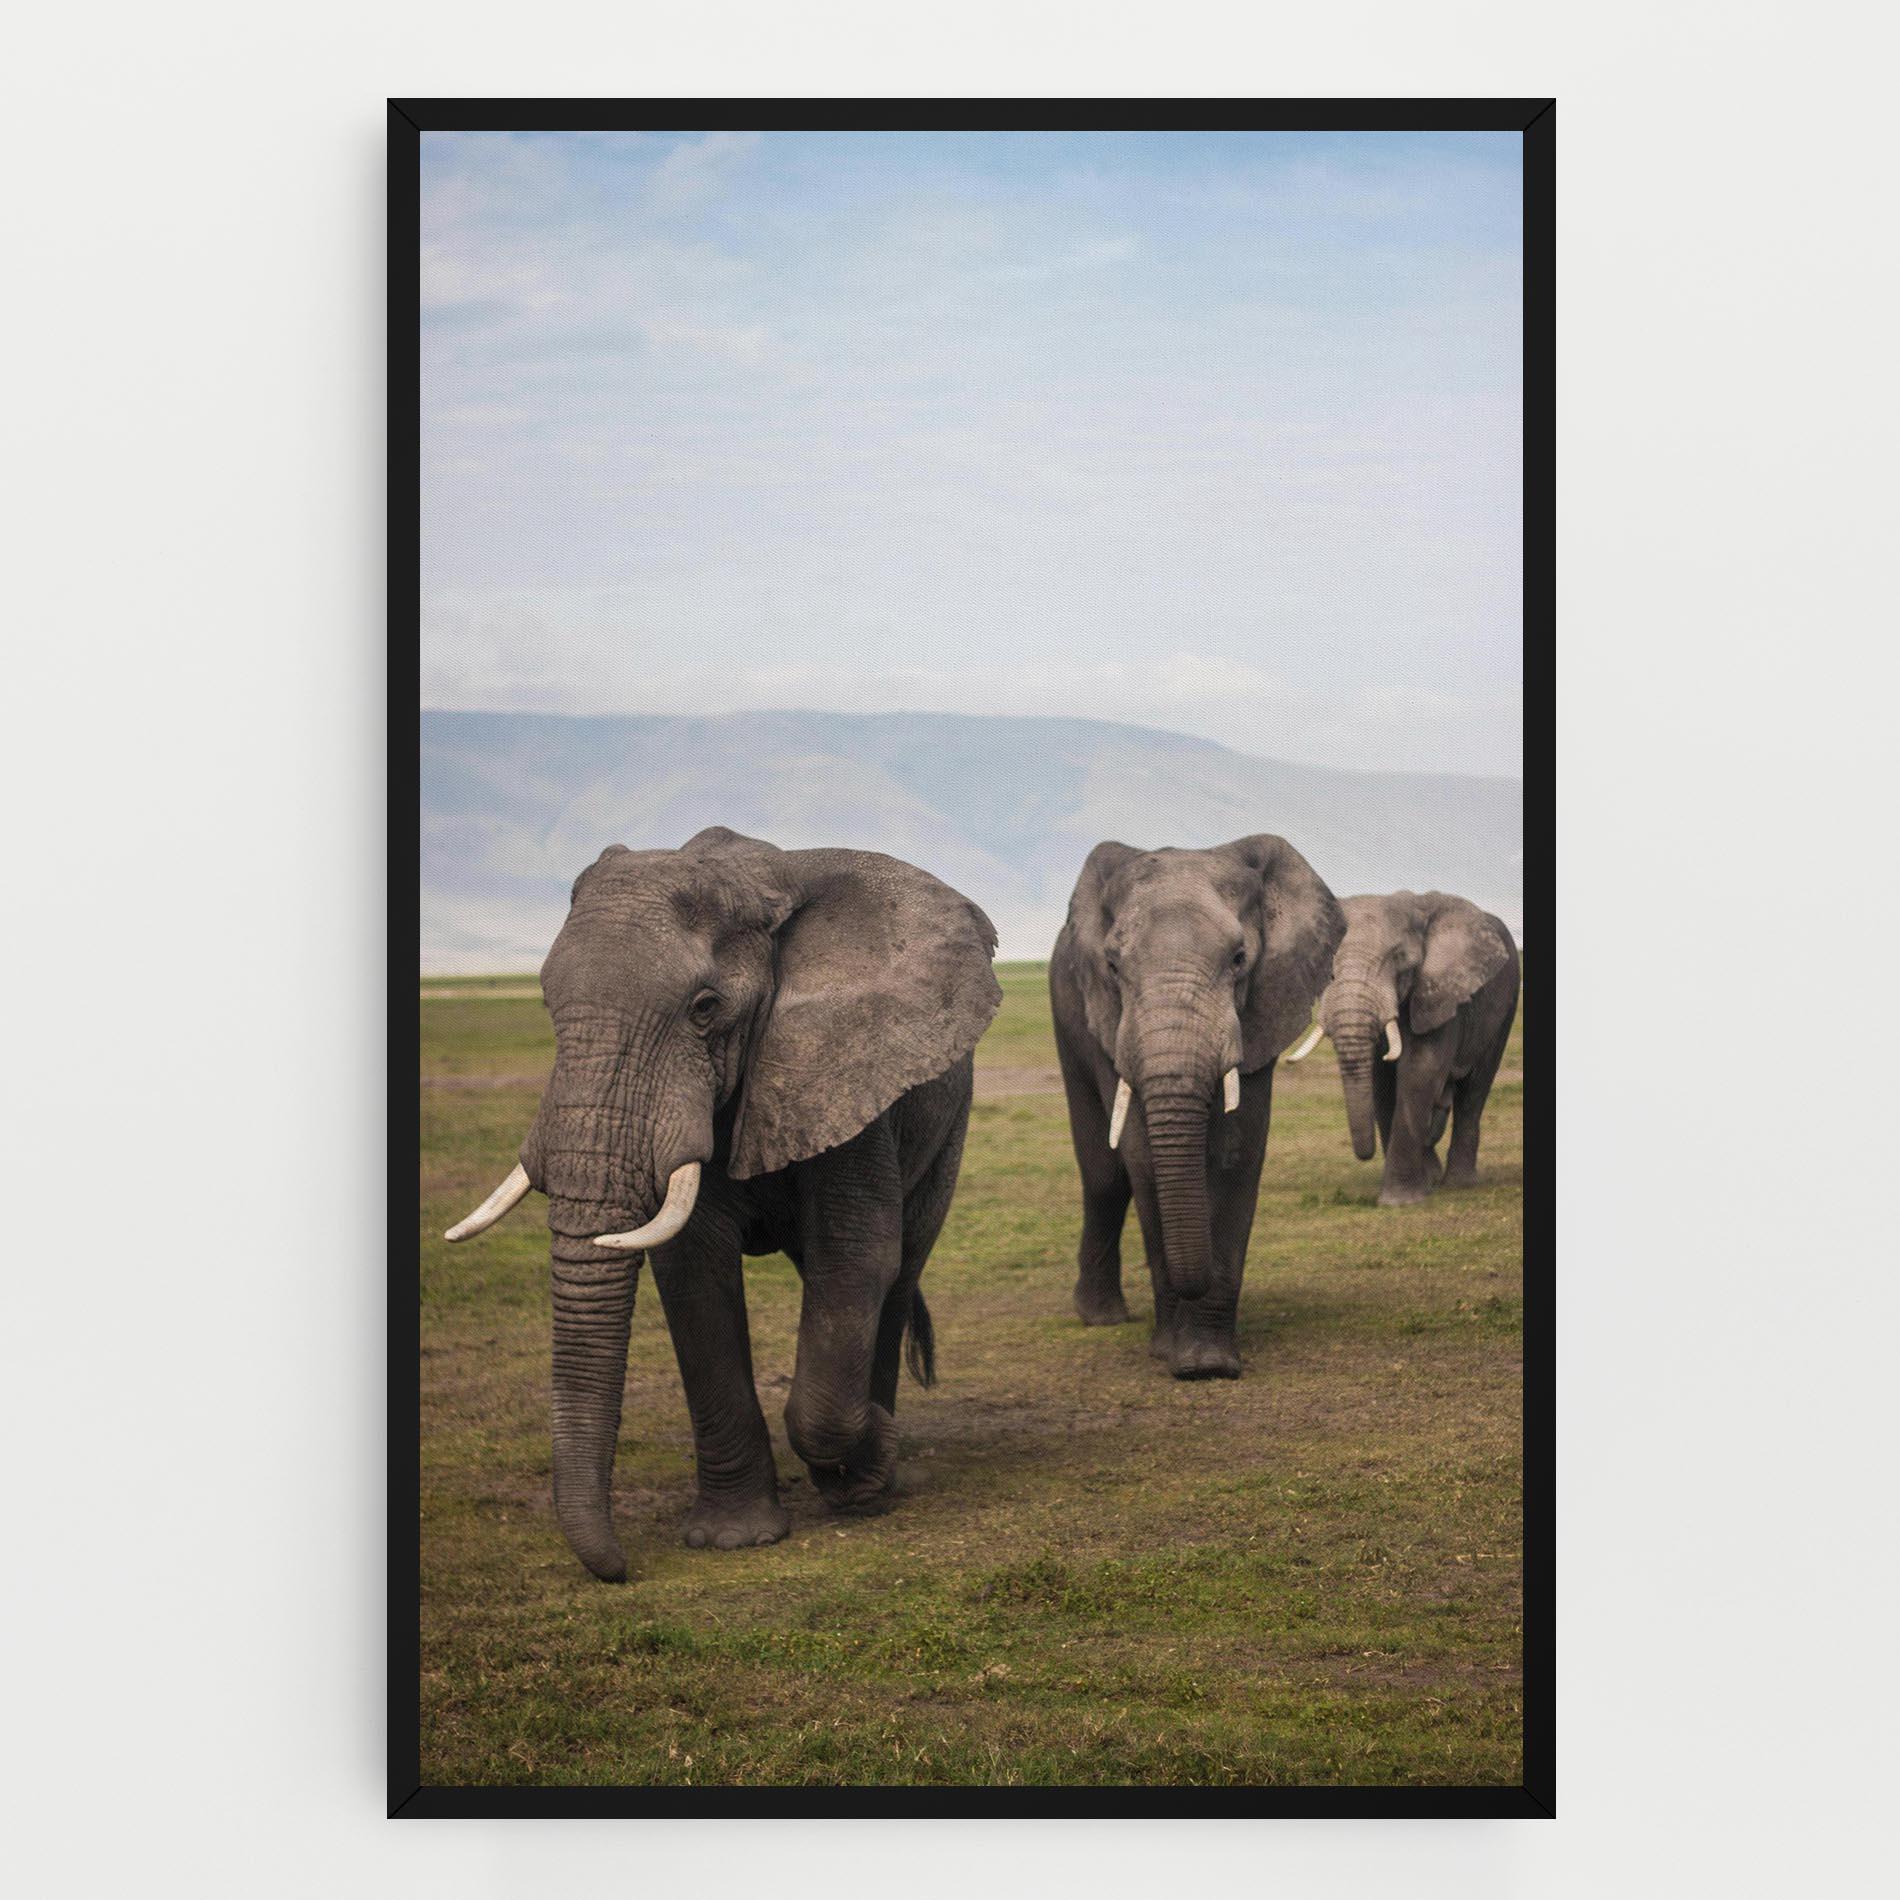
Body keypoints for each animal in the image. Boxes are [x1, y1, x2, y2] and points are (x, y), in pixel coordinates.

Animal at [442, 826, 1001, 1581]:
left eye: (704, 1008)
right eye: (546, 1003)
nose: (619, 1568)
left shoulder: (845, 1067)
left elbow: (856, 1256)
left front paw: (867, 1465)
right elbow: (693, 1272)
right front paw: (733, 1539)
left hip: (950, 1122)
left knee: (900, 1264)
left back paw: (874, 1475)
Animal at [1049, 836, 1345, 1379]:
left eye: (1240, 958)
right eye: (1113, 966)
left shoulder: (1262, 1009)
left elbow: (1235, 1155)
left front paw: (1208, 1364)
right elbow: (1143, 1159)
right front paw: (1173, 1355)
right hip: (1066, 1011)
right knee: (1104, 1175)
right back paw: (1100, 1317)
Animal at [1287, 891, 1520, 1206]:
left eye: (1399, 959)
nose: (1365, 1154)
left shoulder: (1440, 993)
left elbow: (1420, 1070)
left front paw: (1399, 1202)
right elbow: (1382, 1082)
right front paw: (1420, 1186)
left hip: (1507, 1004)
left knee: (1475, 1089)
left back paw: (1459, 1183)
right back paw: (1433, 1176)